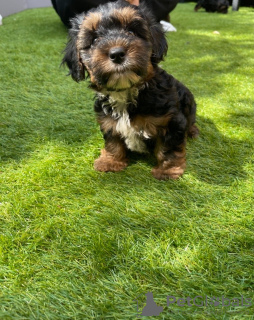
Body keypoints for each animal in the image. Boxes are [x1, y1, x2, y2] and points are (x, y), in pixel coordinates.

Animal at [62, 0, 199, 180]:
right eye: (95, 39)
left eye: (131, 31)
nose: (117, 54)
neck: (126, 91)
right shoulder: (108, 121)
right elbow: (113, 141)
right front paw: (110, 161)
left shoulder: (172, 120)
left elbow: (169, 148)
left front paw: (168, 170)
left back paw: (192, 131)